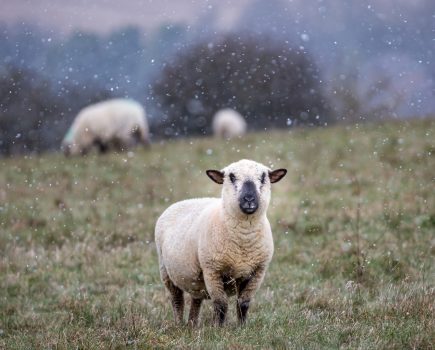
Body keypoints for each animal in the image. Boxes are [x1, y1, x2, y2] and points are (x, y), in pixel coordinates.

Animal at [155, 159, 288, 326]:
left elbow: (243, 303)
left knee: (196, 299)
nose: (249, 199)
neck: (243, 241)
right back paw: (179, 324)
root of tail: (186, 200)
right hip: (165, 271)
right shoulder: (212, 270)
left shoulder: (258, 271)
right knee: (177, 300)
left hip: (196, 281)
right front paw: (218, 328)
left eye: (264, 177)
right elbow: (221, 304)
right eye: (231, 177)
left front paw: (242, 327)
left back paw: (192, 324)